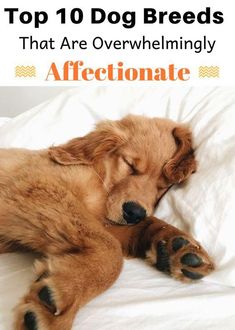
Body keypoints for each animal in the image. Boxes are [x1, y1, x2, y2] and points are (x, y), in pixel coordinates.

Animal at [0, 115, 214, 330]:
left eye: (163, 185)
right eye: (130, 165)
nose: (135, 212)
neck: (100, 177)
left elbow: (142, 226)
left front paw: (176, 245)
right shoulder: (38, 187)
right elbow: (111, 249)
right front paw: (63, 295)